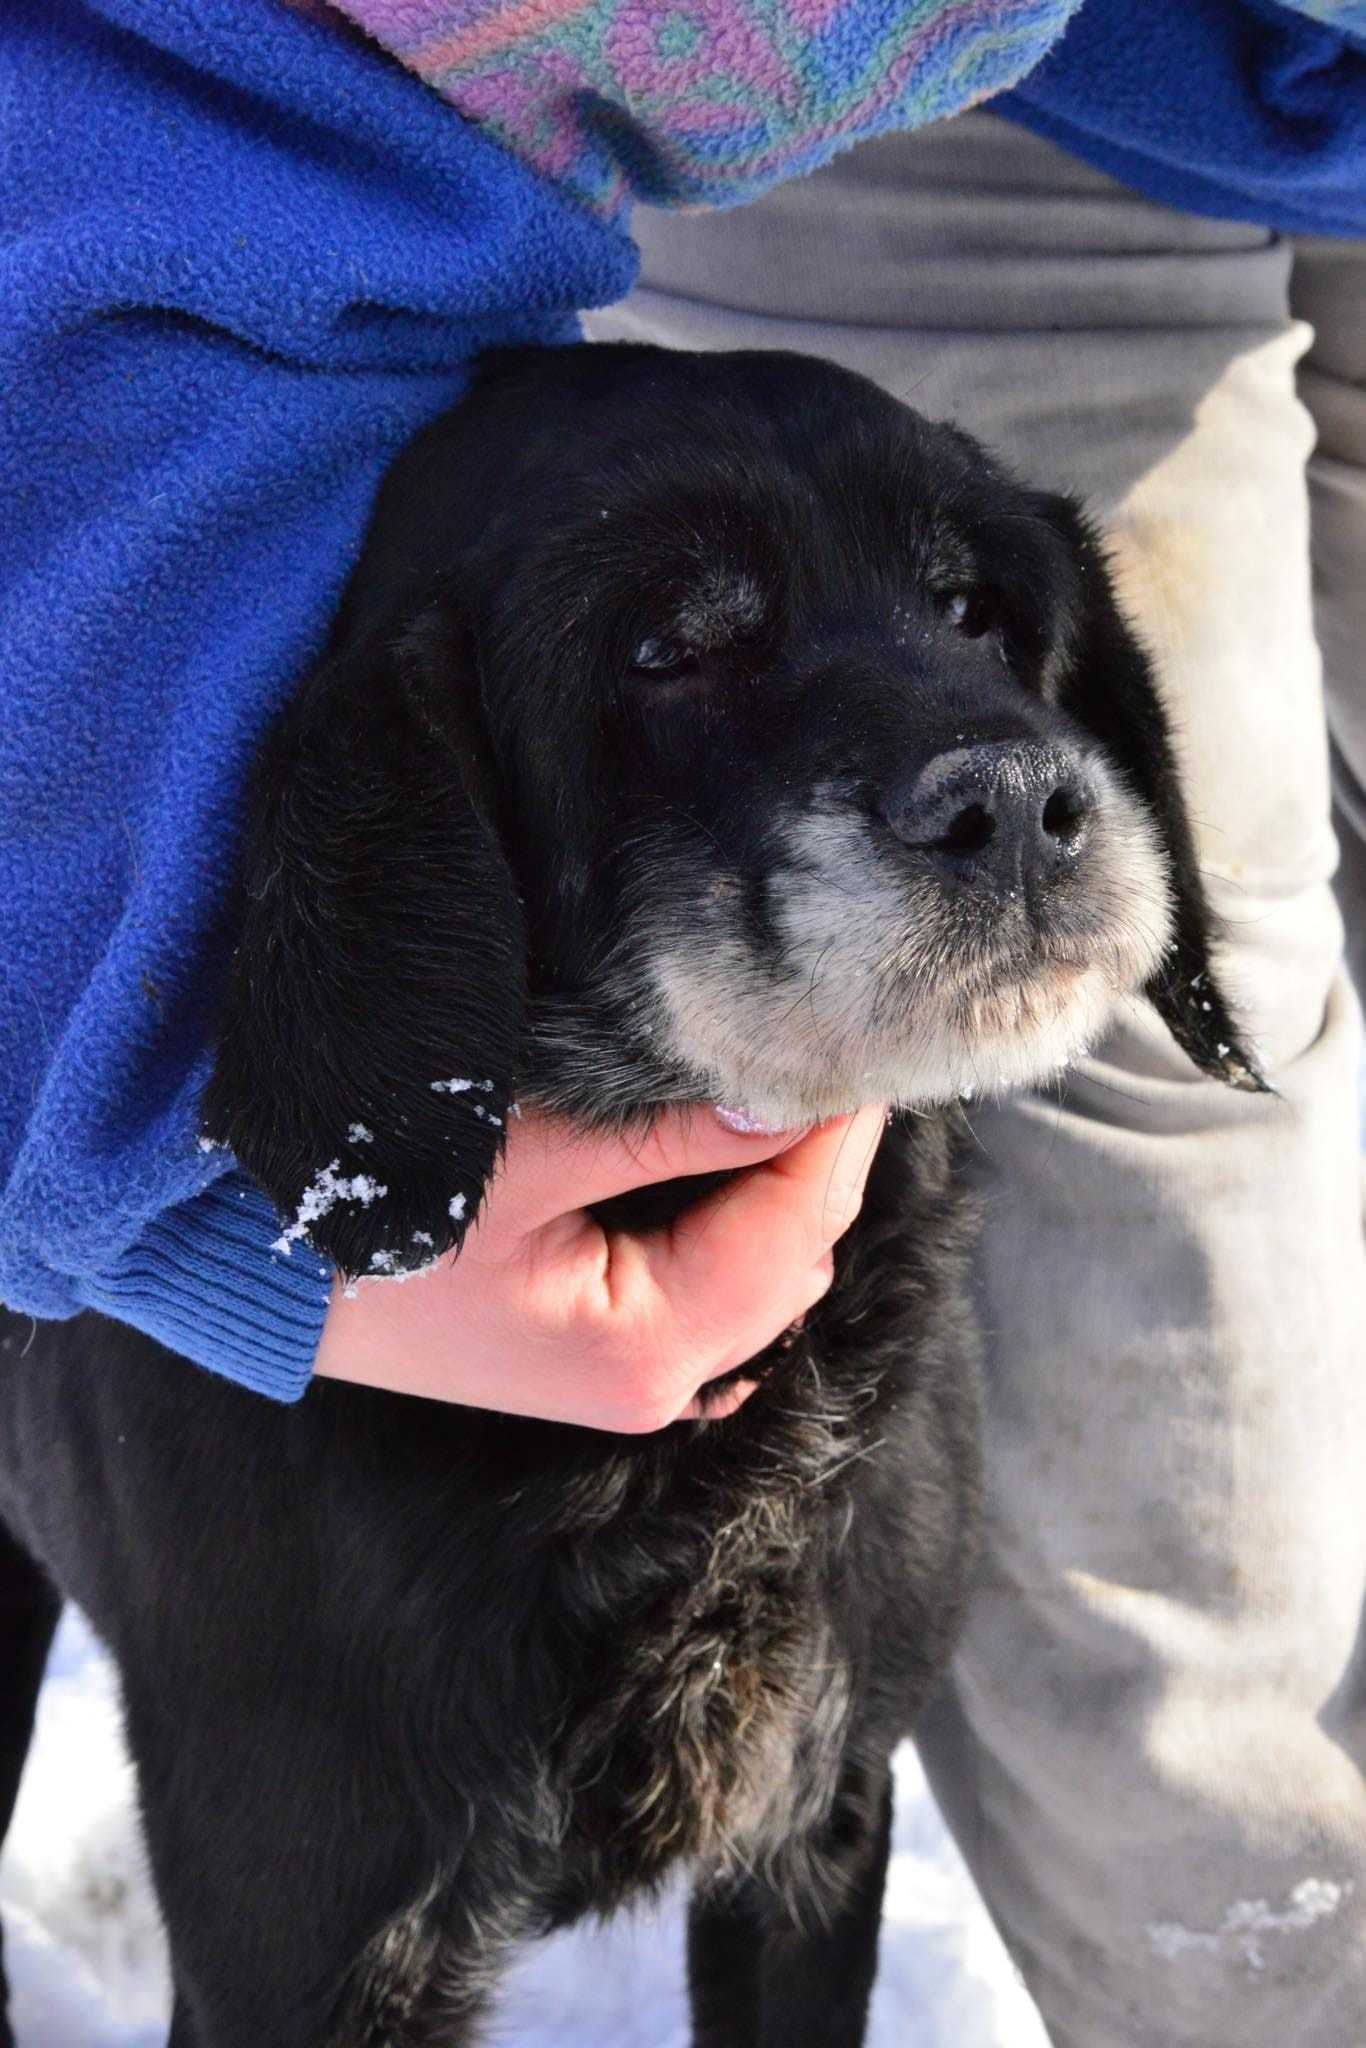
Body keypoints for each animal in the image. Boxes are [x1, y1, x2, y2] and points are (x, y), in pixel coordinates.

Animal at [0, 344, 1261, 2039]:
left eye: (973, 609)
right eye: (670, 647)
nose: (1018, 802)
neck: (669, 1482)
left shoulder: (814, 1826)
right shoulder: (296, 1926)